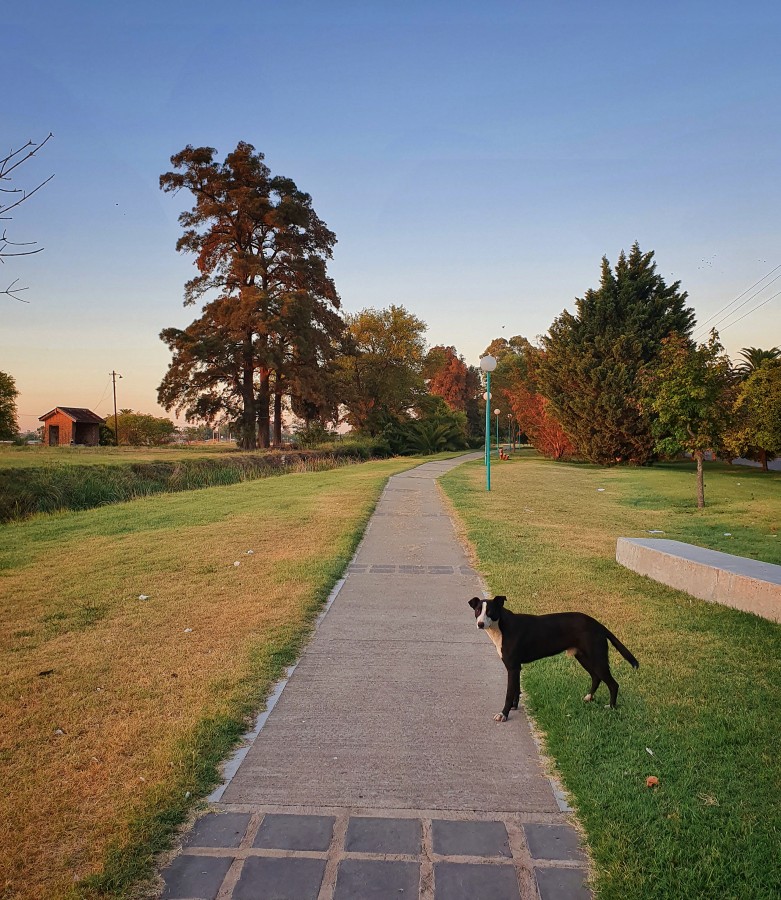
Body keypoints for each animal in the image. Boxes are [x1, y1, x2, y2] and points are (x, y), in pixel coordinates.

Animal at [466, 596, 636, 720]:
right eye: (478, 610)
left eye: (490, 611)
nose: (480, 624)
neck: (502, 626)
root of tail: (598, 625)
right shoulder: (516, 667)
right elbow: (516, 689)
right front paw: (514, 706)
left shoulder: (513, 667)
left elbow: (509, 692)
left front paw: (504, 714)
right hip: (584, 657)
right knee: (596, 677)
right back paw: (588, 697)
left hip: (597, 658)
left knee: (613, 684)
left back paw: (611, 707)